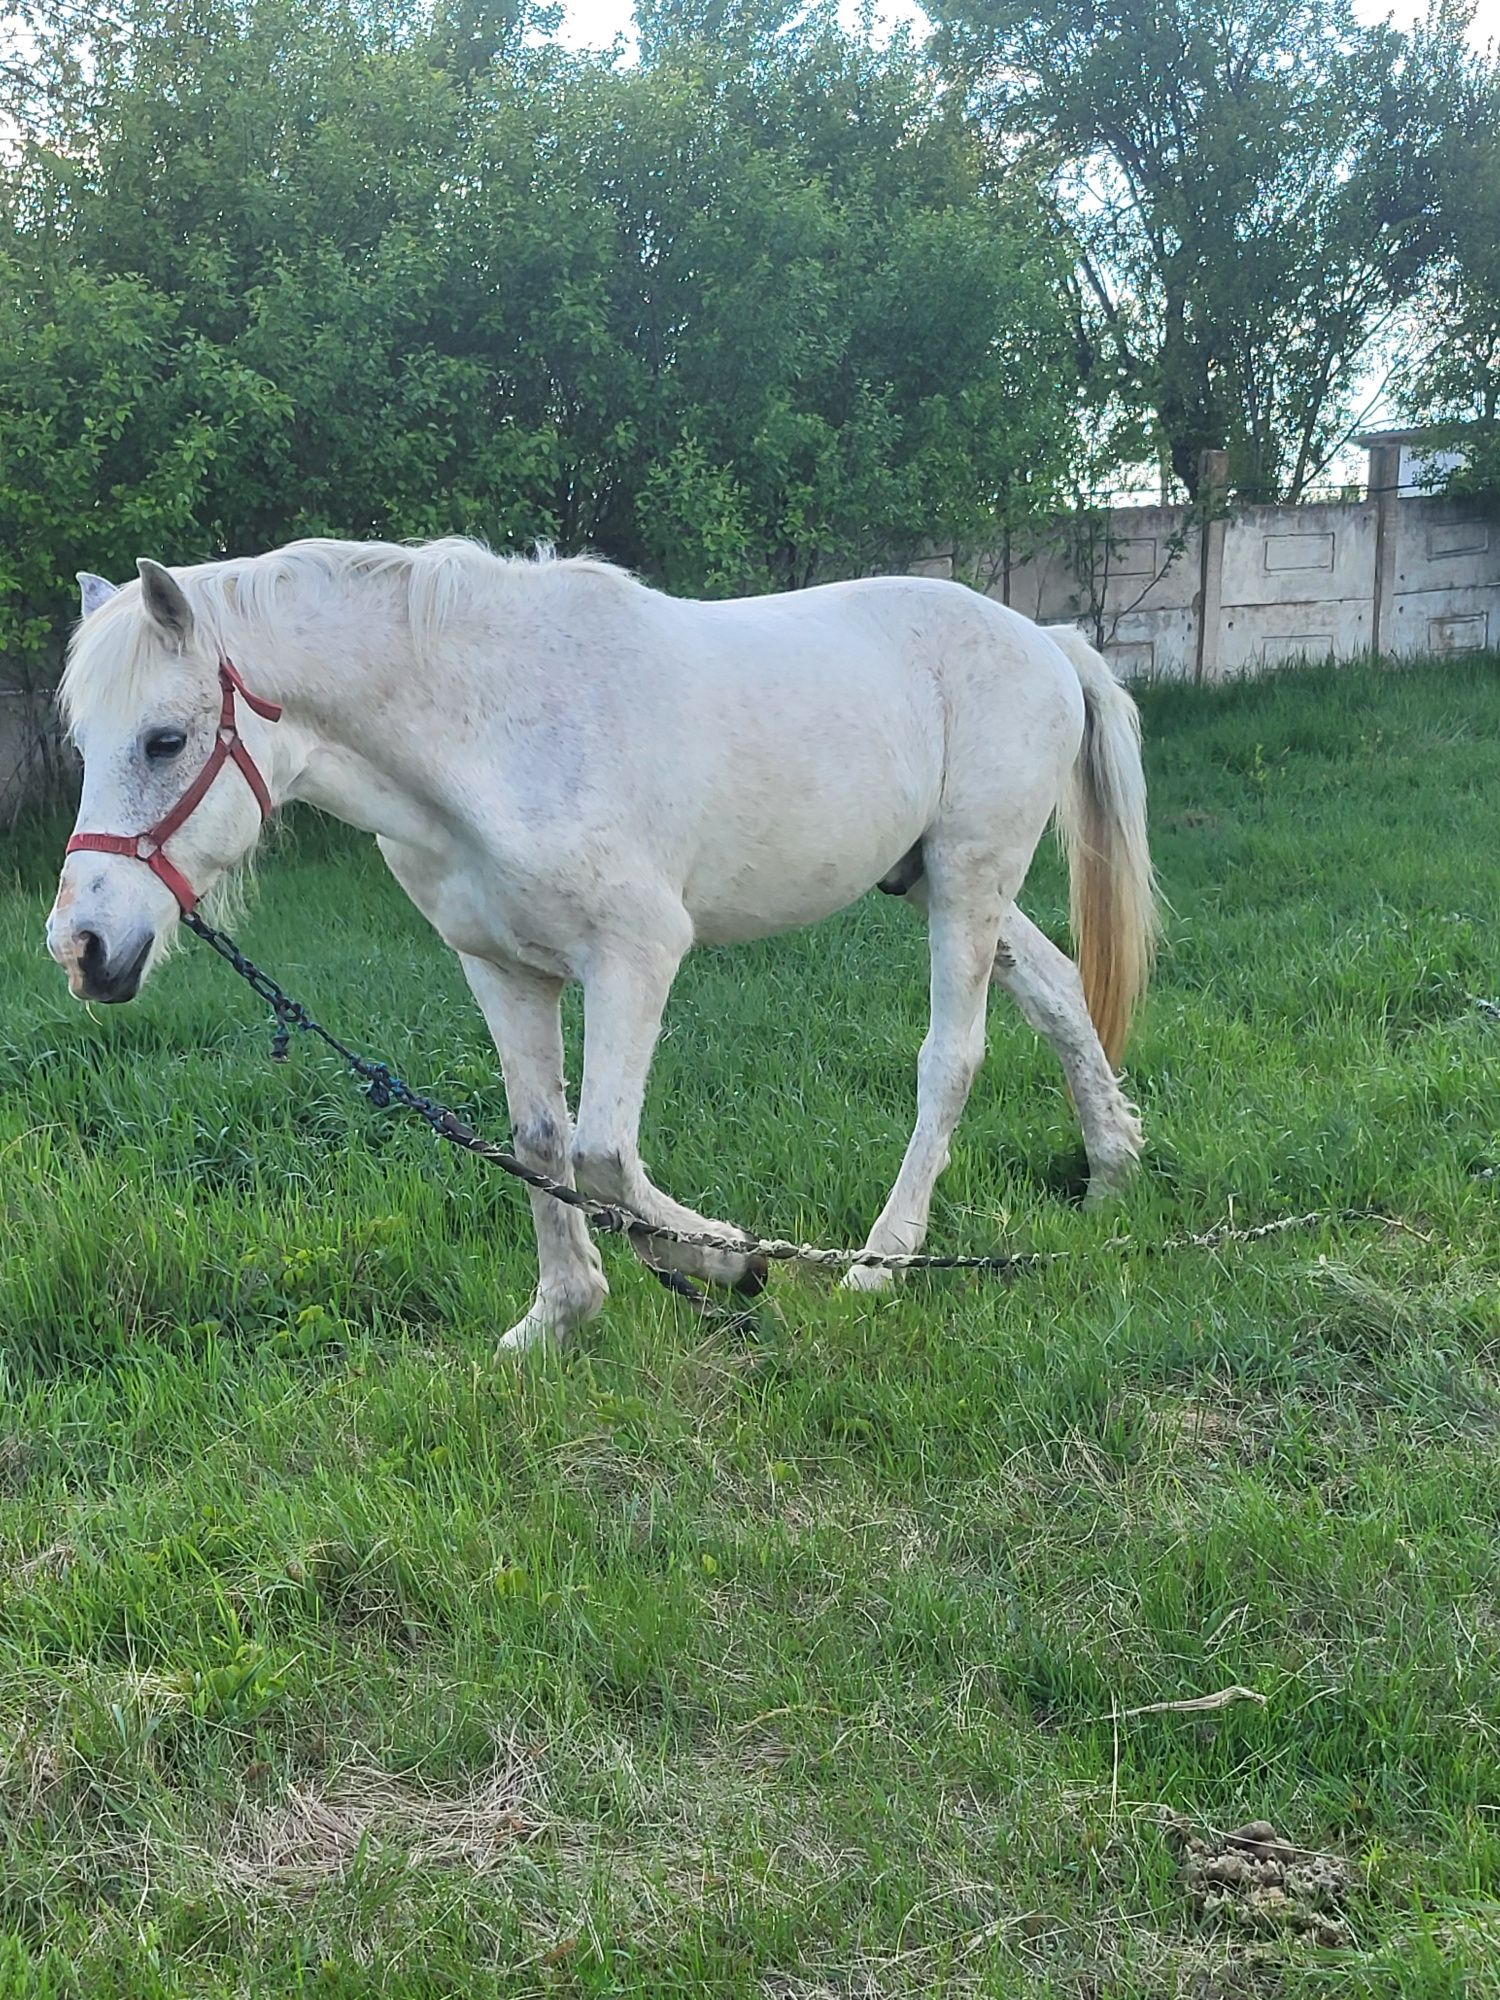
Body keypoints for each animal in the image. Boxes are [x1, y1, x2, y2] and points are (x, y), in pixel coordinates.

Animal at [44, 540, 1152, 1352]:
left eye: (164, 741)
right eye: (86, 745)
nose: (81, 945)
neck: (490, 733)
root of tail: (1045, 639)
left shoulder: (636, 955)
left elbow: (602, 1150)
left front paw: (726, 1259)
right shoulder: (501, 968)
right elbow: (539, 1139)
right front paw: (560, 1316)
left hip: (969, 874)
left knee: (950, 1058)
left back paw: (882, 1262)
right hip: (937, 880)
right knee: (1059, 991)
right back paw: (1111, 1171)